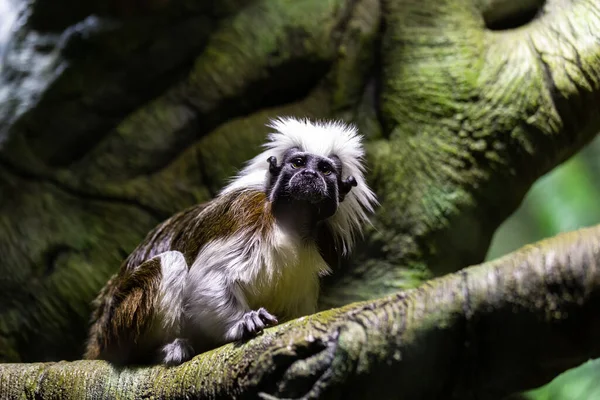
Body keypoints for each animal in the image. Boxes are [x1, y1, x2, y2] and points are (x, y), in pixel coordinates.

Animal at [84, 116, 376, 366]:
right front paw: (242, 322)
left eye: (325, 169)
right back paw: (161, 349)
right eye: (298, 163)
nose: (310, 175)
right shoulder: (246, 211)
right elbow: (209, 277)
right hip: (119, 324)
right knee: (171, 261)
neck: (290, 222)